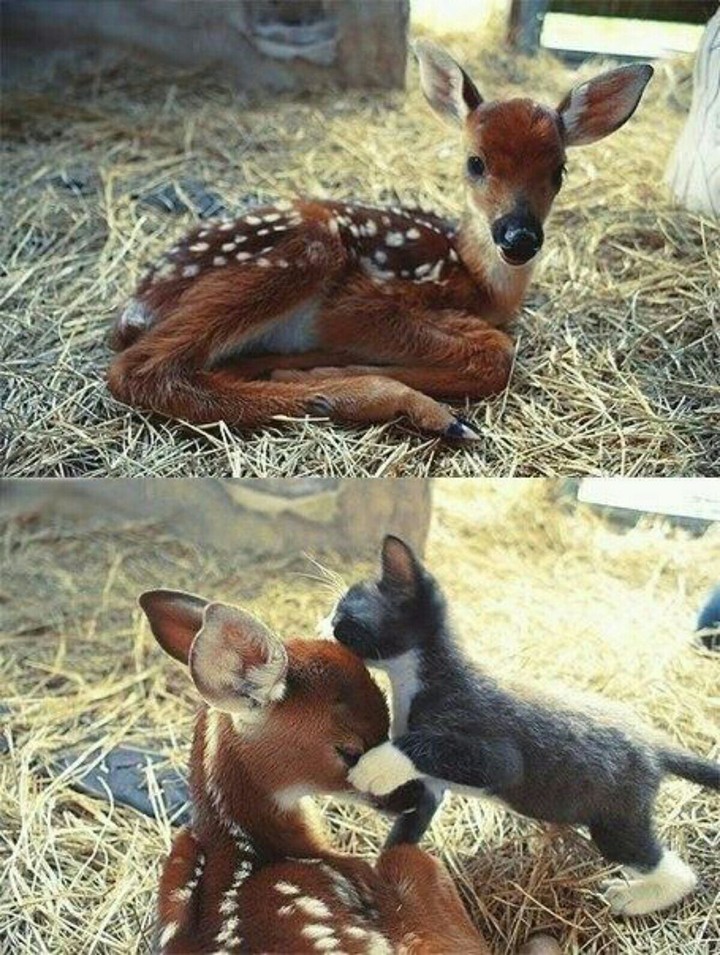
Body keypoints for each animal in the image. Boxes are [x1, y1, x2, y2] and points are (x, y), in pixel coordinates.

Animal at [109, 42, 652, 441]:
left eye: (560, 171)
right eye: (475, 162)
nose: (519, 237)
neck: (479, 282)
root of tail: (139, 303)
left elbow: (496, 347)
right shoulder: (367, 298)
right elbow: (497, 353)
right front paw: (317, 371)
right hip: (305, 251)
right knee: (138, 371)